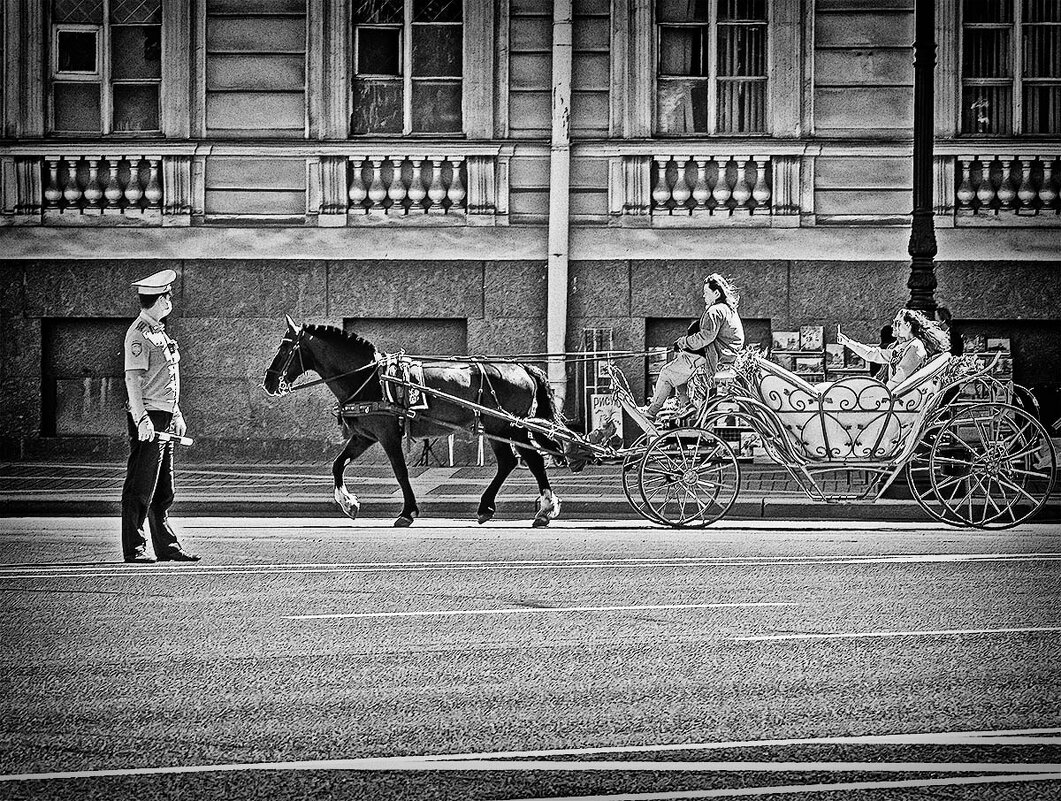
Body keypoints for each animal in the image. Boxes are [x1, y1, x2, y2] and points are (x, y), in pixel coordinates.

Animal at [262, 316, 568, 530]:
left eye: (284, 348)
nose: (268, 382)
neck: (371, 379)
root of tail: (522, 366)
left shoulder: (387, 435)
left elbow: (400, 472)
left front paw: (407, 512)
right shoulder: (364, 436)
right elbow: (338, 465)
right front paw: (349, 504)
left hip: (505, 426)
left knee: (528, 460)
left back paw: (542, 508)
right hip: (503, 428)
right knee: (514, 461)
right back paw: (501, 508)